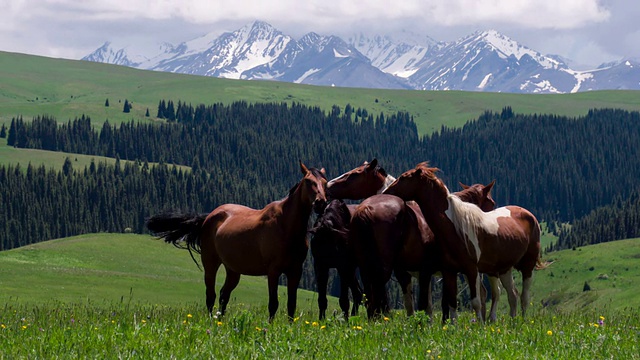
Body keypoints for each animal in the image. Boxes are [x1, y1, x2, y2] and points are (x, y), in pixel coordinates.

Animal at [148, 162, 328, 322]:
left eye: (325, 183)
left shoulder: (295, 271)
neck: (285, 225)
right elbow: (273, 304)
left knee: (223, 295)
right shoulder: (273, 271)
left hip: (233, 271)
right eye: (309, 181)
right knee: (211, 295)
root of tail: (207, 218)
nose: (321, 202)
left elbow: (291, 305)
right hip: (210, 263)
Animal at [350, 181, 496, 320]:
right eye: (492, 202)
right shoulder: (436, 270)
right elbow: (440, 302)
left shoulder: (417, 272)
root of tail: (365, 209)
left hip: (365, 266)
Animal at [382, 162, 548, 322]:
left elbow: (476, 302)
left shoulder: (471, 269)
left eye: (404, 178)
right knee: (512, 295)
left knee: (523, 297)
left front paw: (480, 325)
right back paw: (512, 322)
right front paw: (452, 327)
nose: (386, 193)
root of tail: (530, 215)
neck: (455, 228)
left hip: (527, 266)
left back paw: (522, 321)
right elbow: (451, 303)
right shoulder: (449, 271)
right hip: (503, 269)